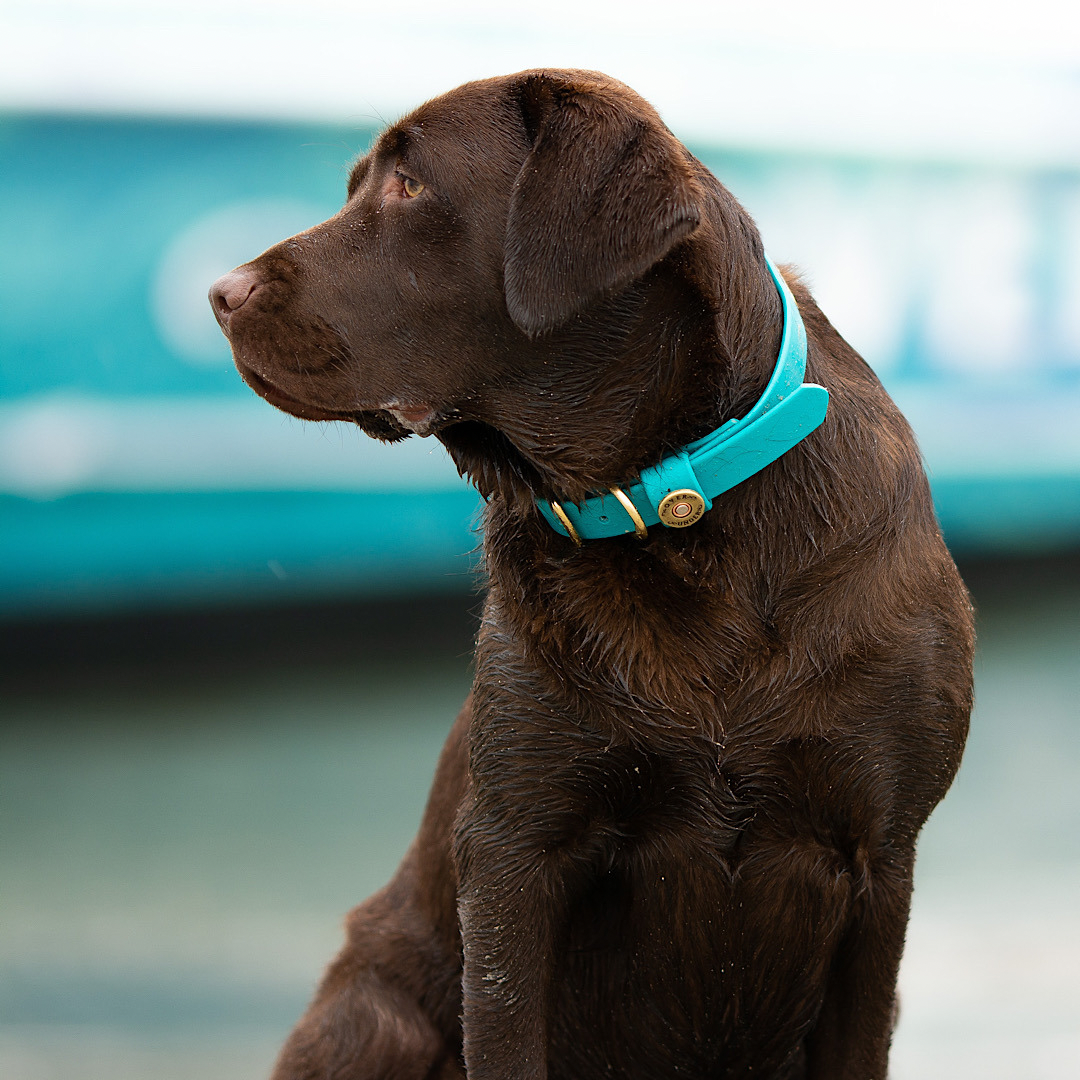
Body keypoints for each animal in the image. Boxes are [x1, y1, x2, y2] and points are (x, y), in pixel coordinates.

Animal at [208, 69, 972, 1080]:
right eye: (354, 186)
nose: (218, 292)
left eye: (409, 185)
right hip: (371, 1015)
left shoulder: (879, 863)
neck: (675, 510)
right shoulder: (513, 858)